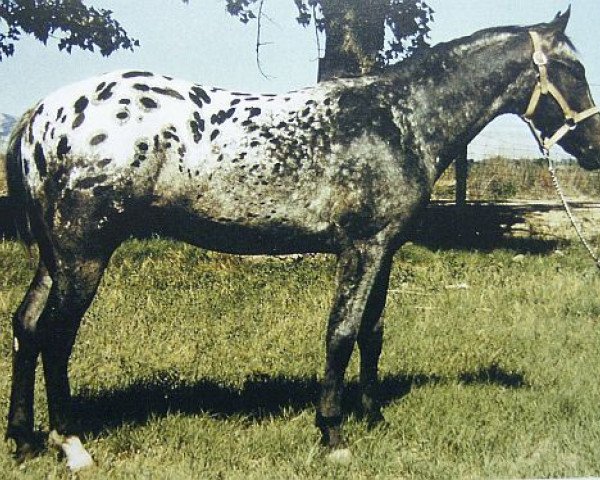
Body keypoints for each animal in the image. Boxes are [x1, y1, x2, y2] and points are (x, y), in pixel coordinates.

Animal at [4, 7, 600, 470]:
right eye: (572, 68)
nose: (594, 147)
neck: (397, 121)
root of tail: (40, 115)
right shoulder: (361, 248)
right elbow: (341, 333)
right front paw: (333, 434)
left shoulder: (384, 250)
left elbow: (372, 333)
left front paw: (373, 416)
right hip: (84, 256)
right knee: (55, 335)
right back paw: (72, 445)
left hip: (55, 260)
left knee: (26, 326)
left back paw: (24, 440)